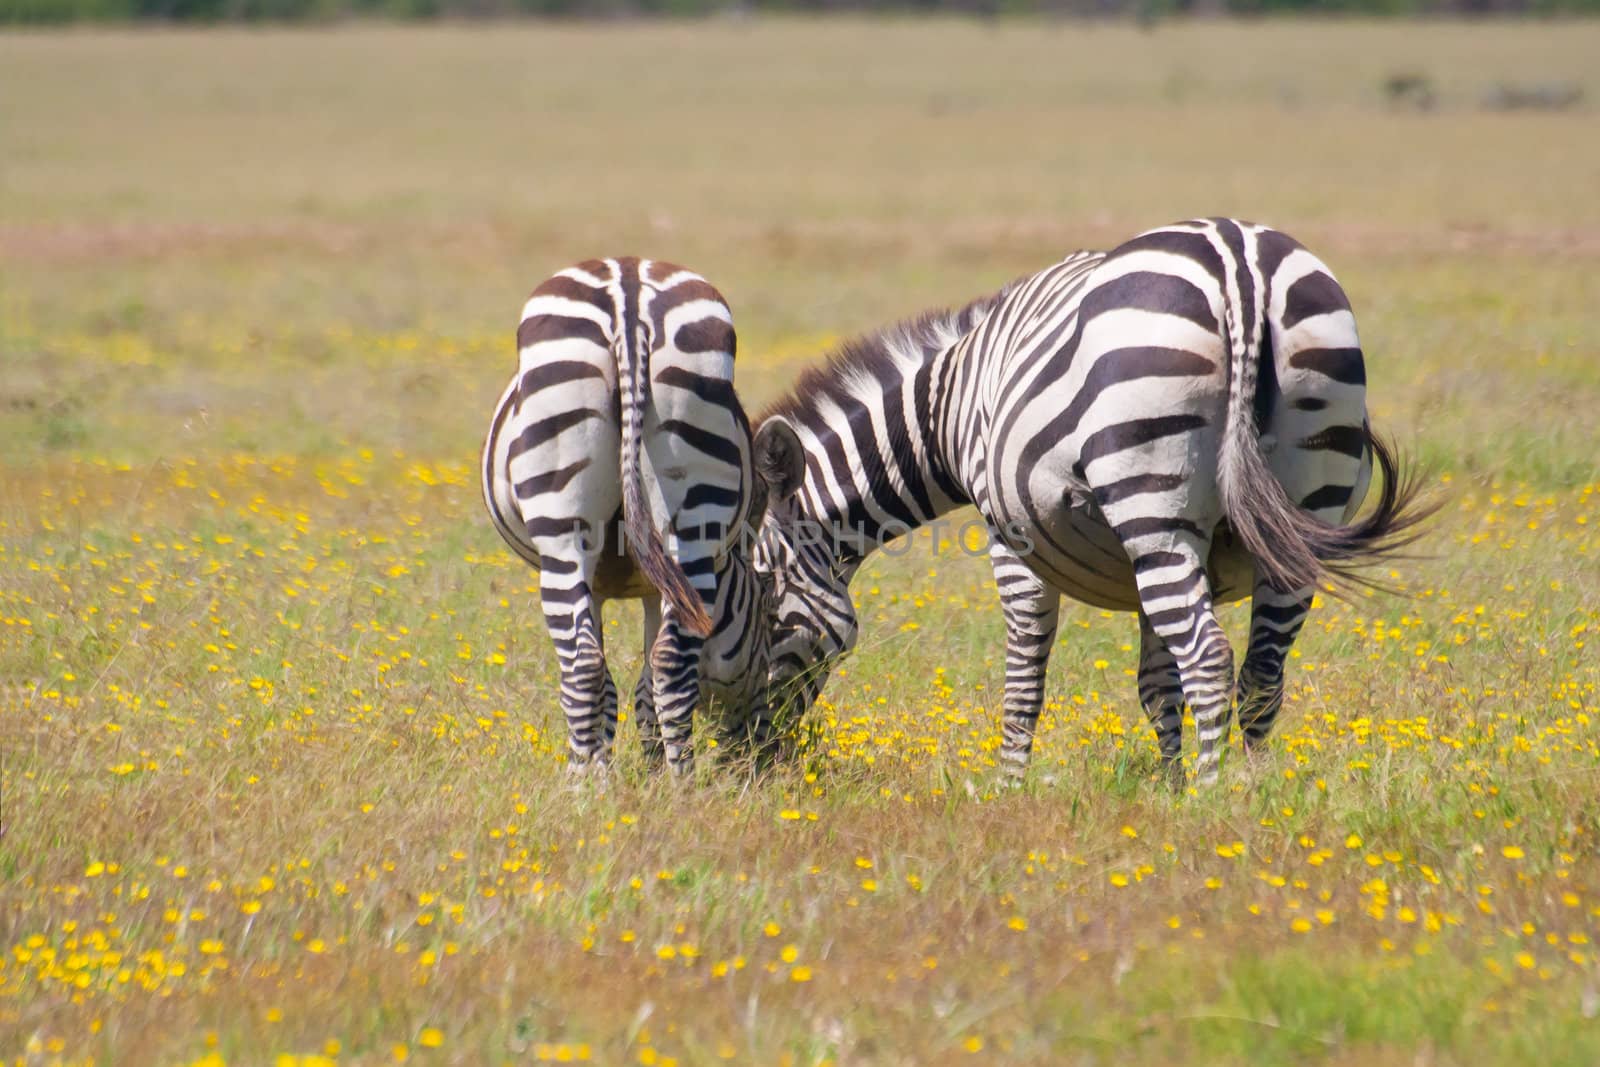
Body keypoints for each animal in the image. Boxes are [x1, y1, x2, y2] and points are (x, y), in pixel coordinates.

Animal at [476, 259, 796, 777]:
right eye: (769, 609)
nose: (761, 752)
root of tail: (628, 293)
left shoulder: (636, 586)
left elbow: (621, 687)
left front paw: (626, 768)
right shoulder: (653, 585)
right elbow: (638, 684)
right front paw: (647, 773)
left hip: (565, 532)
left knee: (585, 667)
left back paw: (585, 785)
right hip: (690, 519)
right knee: (663, 666)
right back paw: (677, 785)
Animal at [752, 219, 1440, 783]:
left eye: (761, 605)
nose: (749, 758)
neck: (952, 404)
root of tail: (1240, 265)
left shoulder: (1011, 540)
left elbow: (1025, 678)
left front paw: (1008, 789)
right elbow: (1157, 685)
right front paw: (1168, 786)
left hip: (1152, 502)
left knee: (1210, 659)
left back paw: (1214, 801)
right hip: (1297, 498)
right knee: (1261, 674)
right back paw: (1248, 791)